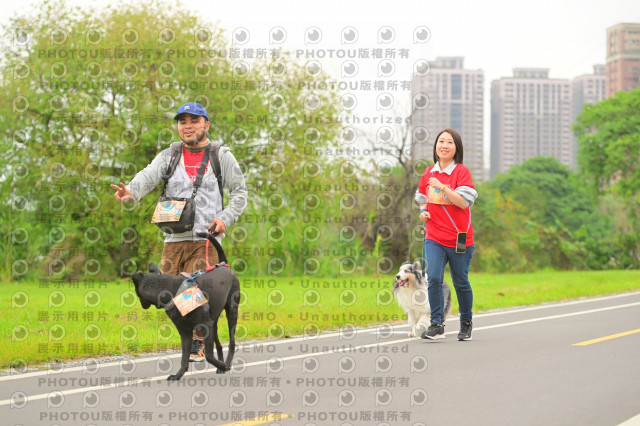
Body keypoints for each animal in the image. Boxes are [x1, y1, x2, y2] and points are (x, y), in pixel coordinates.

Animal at [131, 234, 240, 381]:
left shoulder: (205, 325)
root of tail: (224, 265)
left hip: (231, 312)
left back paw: (226, 364)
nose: (142, 306)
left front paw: (222, 365)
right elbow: (184, 357)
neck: (169, 291)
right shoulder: (185, 331)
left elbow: (209, 356)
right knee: (219, 345)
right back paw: (221, 367)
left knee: (232, 343)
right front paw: (178, 375)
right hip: (213, 322)